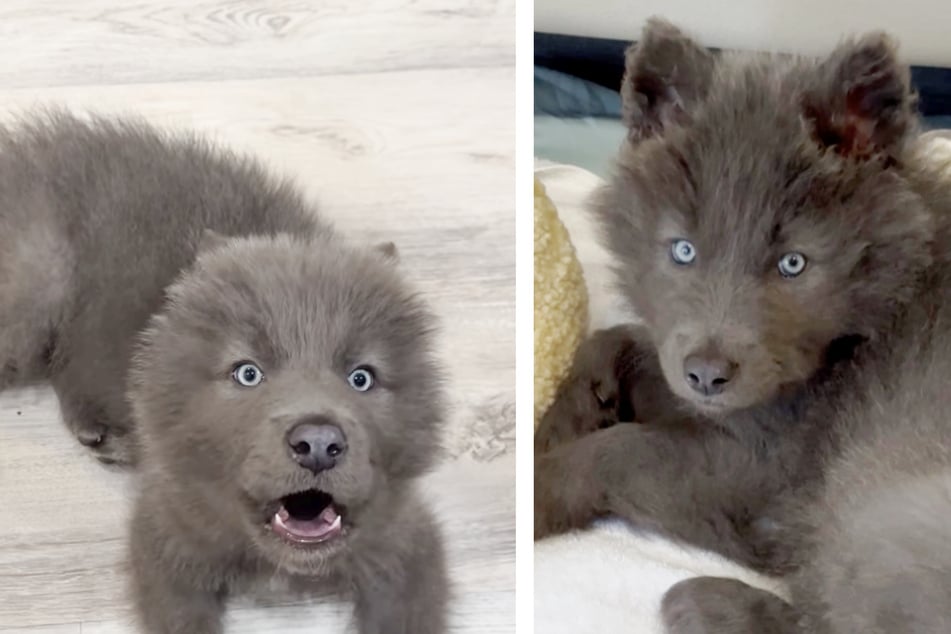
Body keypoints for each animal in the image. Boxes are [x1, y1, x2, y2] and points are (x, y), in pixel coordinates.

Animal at [534, 18, 951, 633]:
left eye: (793, 264)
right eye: (683, 250)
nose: (709, 375)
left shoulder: (764, 472)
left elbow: (621, 450)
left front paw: (539, 488)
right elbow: (623, 341)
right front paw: (565, 416)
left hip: (883, 502)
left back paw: (707, 604)